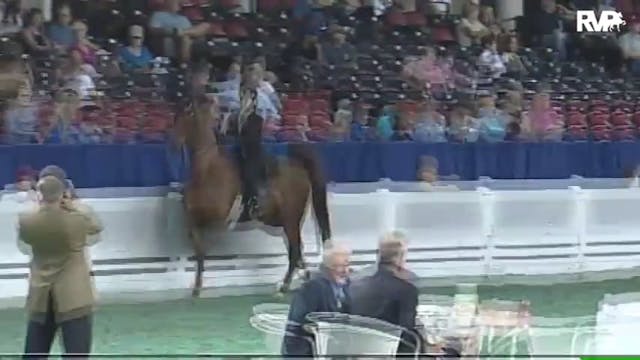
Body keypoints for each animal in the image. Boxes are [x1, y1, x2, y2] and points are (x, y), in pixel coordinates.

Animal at [171, 95, 330, 296]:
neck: (207, 170)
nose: (173, 142)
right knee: (298, 249)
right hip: (281, 221)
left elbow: (205, 243)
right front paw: (197, 288)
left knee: (294, 250)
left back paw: (285, 286)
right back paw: (302, 275)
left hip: (290, 220)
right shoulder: (193, 218)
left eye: (188, 116)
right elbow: (198, 249)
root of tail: (299, 166)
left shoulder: (219, 216)